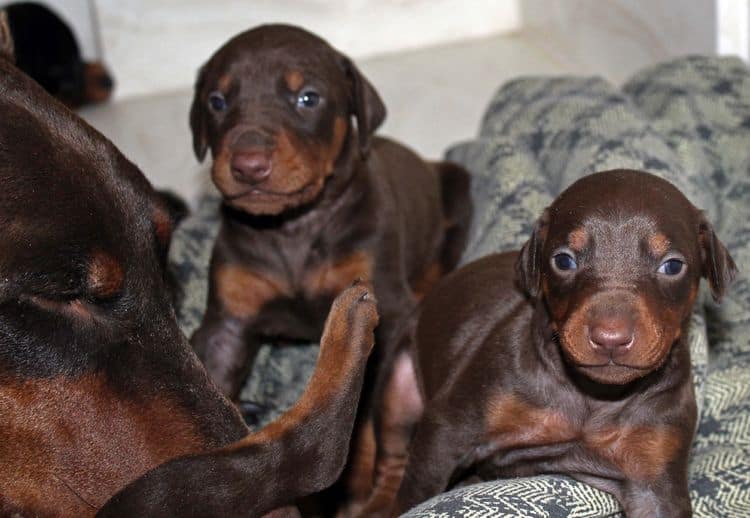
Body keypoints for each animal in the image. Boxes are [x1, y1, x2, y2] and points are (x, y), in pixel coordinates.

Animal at [368, 172, 736, 518]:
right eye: (564, 261)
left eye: (672, 265)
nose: (610, 338)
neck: (594, 397)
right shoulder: (449, 427)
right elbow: (416, 493)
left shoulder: (656, 477)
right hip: (398, 386)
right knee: (393, 459)